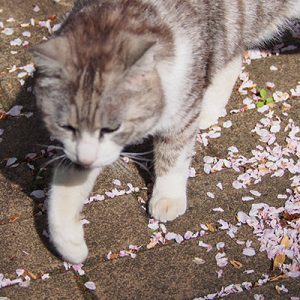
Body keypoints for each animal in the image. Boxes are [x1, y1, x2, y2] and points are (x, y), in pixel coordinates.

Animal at [31, 0, 300, 262]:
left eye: (112, 127)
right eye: (66, 126)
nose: (86, 160)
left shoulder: (181, 106)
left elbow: (173, 153)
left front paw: (168, 196)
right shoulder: (77, 149)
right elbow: (66, 186)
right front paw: (70, 244)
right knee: (232, 55)